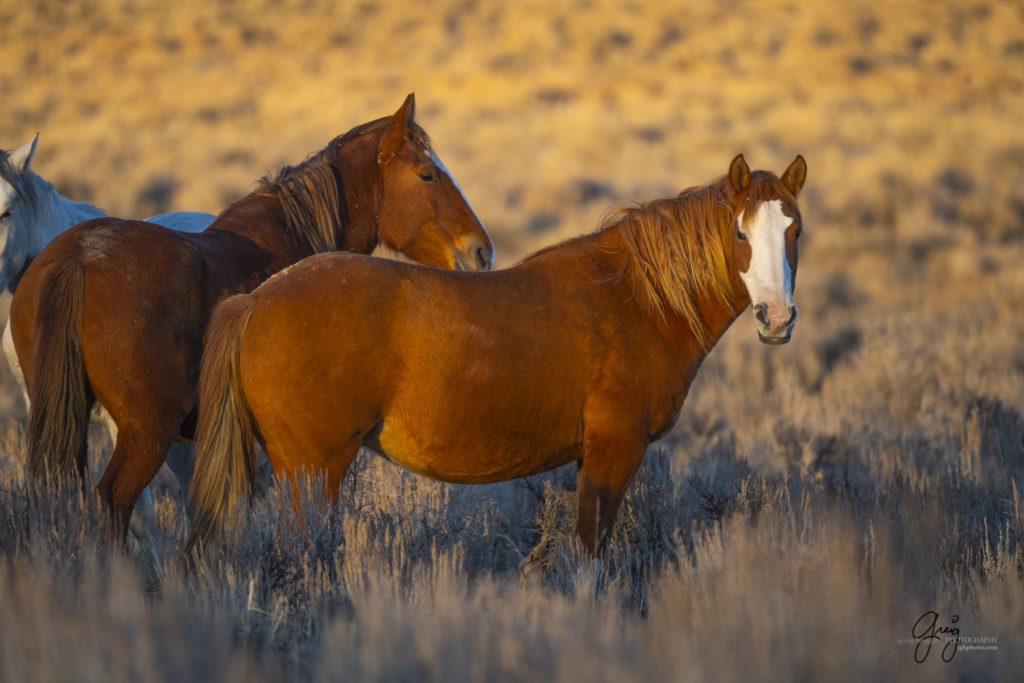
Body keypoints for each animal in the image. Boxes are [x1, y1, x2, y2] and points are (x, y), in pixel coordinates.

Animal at [188, 153, 802, 557]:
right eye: (741, 235)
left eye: (794, 232)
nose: (776, 317)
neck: (636, 298)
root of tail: (255, 299)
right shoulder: (614, 454)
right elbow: (591, 555)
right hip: (311, 472)